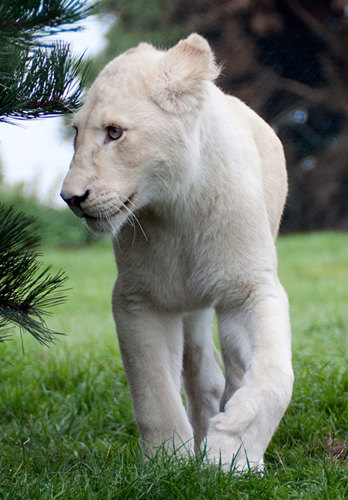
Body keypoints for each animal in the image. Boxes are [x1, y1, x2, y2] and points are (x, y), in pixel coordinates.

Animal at [60, 33, 294, 470]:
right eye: (76, 134)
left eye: (114, 132)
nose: (71, 198)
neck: (176, 207)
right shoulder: (139, 298)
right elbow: (153, 389)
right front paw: (170, 461)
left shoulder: (248, 288)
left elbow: (274, 374)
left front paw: (231, 455)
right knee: (201, 369)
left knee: (233, 368)